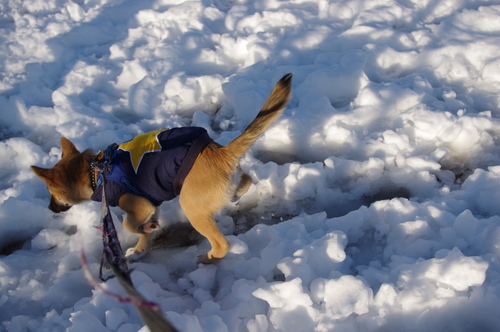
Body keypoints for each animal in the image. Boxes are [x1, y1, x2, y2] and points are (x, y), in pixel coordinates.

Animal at [30, 73, 292, 264]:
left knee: (222, 244)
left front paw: (143, 233)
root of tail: (220, 152)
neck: (96, 172)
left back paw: (207, 258)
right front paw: (139, 249)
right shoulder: (150, 205)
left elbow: (129, 225)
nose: (50, 208)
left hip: (192, 209)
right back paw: (235, 196)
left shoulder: (139, 204)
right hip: (226, 184)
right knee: (245, 180)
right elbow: (144, 234)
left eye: (52, 193)